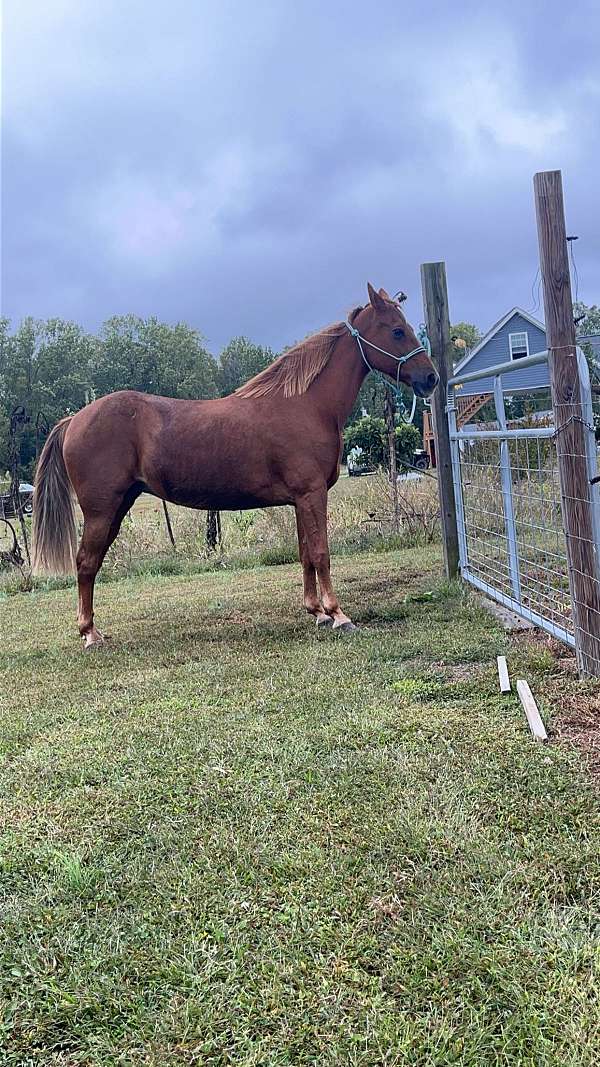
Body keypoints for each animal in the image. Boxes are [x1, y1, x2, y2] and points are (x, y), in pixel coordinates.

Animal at [31, 283, 433, 644]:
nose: (430, 378)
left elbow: (305, 553)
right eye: (397, 330)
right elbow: (321, 553)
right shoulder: (313, 494)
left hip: (117, 508)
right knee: (85, 563)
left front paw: (316, 612)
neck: (305, 404)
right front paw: (338, 614)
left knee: (91, 563)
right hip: (101, 511)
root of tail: (76, 418)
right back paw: (89, 633)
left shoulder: (300, 500)